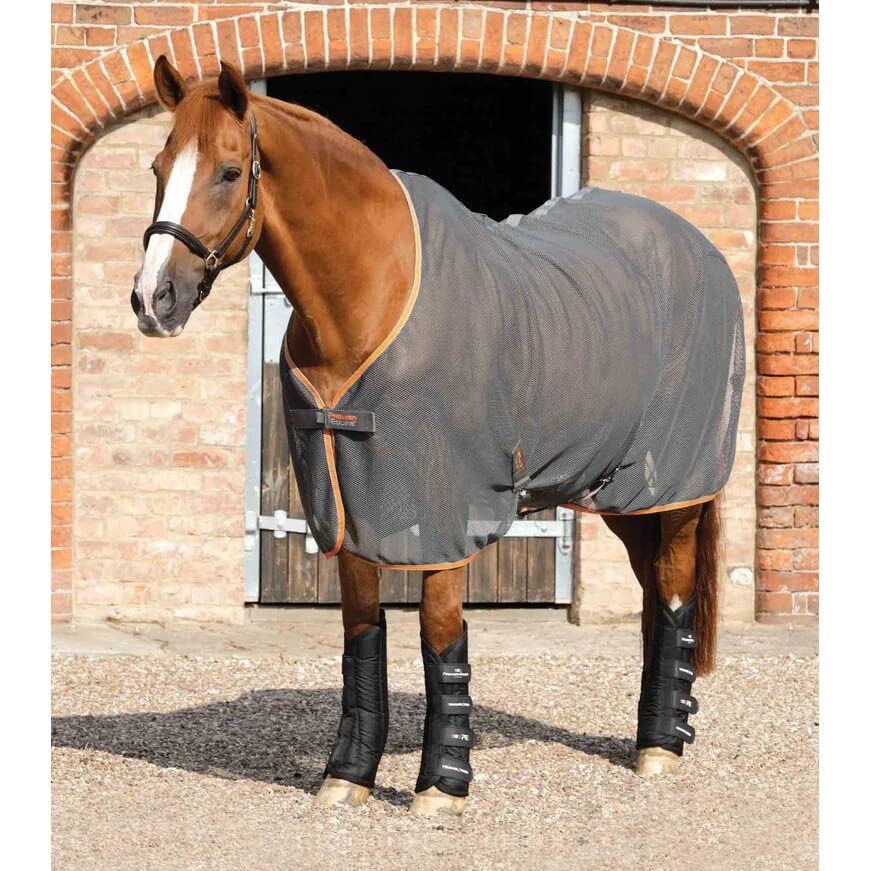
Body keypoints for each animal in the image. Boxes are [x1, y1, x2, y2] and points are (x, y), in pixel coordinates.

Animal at [132, 57, 738, 817]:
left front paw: (441, 785)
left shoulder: (447, 508)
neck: (370, 296)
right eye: (158, 166)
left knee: (674, 587)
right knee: (655, 594)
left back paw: (658, 747)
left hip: (674, 486)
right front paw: (347, 776)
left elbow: (441, 634)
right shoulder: (345, 501)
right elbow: (362, 635)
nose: (153, 299)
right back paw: (661, 733)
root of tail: (696, 244)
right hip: (622, 493)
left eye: (229, 170)